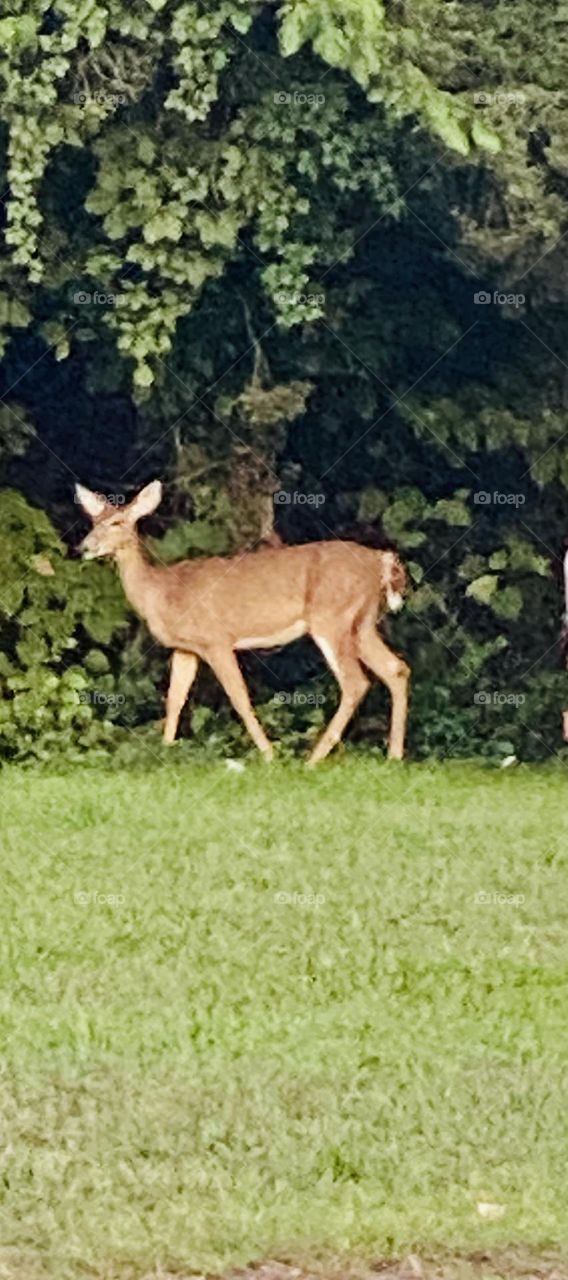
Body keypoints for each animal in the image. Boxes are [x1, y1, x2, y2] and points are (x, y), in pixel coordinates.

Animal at [76, 481, 410, 764]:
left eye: (117, 522)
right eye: (93, 522)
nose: (84, 547)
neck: (162, 592)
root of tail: (379, 561)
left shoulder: (217, 640)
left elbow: (239, 697)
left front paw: (268, 754)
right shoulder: (187, 648)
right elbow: (175, 699)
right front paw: (166, 749)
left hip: (332, 618)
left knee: (356, 682)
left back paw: (313, 760)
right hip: (362, 622)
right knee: (396, 669)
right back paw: (394, 756)